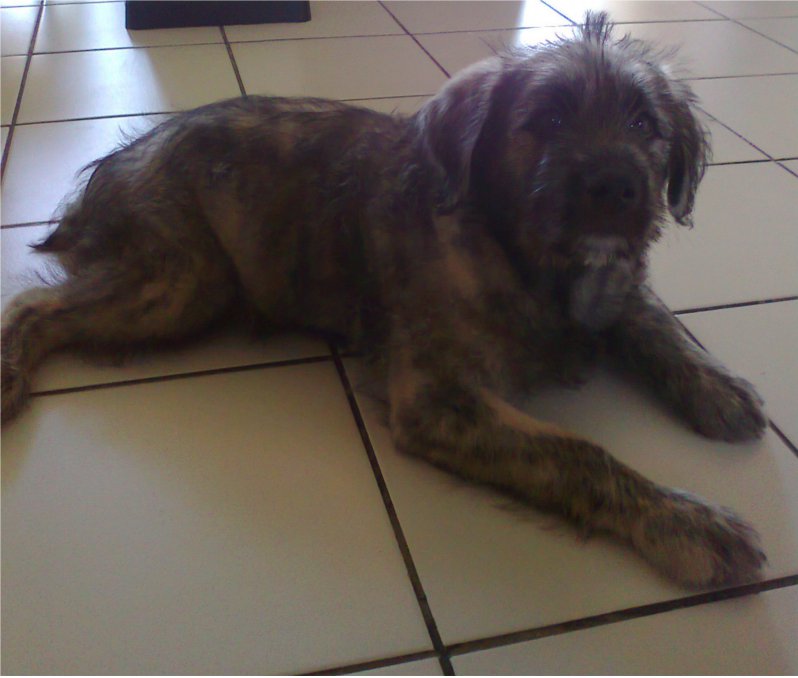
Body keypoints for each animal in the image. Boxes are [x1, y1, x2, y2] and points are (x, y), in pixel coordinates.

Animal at [1, 13, 768, 588]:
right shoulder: (439, 401)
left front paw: (715, 385)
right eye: (548, 120)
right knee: (31, 307)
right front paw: (683, 521)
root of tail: (114, 162)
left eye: (645, 124)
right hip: (184, 281)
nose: (617, 186)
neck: (529, 261)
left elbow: (653, 321)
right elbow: (581, 453)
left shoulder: (615, 281)